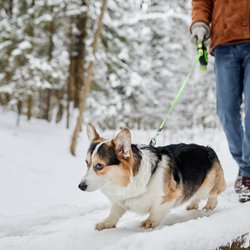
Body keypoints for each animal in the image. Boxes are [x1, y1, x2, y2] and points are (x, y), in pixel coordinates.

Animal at [78, 123, 227, 230]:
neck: (129, 179)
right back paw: (192, 205)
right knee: (195, 194)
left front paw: (150, 222)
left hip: (209, 184)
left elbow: (156, 210)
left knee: (213, 193)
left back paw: (209, 206)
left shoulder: (168, 196)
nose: (80, 186)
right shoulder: (119, 201)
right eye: (86, 163)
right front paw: (106, 223)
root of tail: (208, 148)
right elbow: (114, 213)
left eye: (99, 166)